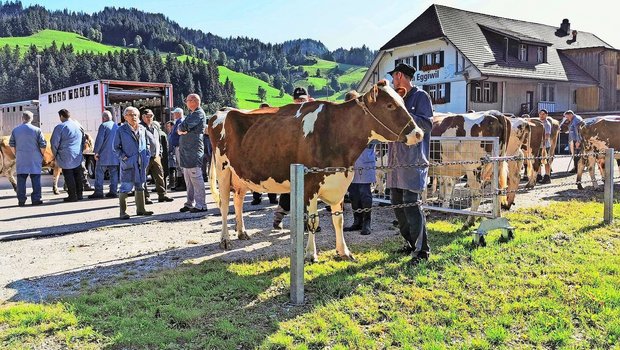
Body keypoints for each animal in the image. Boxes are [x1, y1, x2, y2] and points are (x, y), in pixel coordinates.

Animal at [211, 82, 424, 262]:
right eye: (389, 105)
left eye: (402, 102)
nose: (419, 133)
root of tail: (223, 111)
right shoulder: (310, 184)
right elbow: (313, 222)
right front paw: (310, 254)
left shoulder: (339, 181)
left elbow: (338, 220)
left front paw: (344, 251)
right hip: (223, 169)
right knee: (224, 204)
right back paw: (225, 239)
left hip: (240, 174)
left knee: (238, 200)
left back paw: (242, 232)